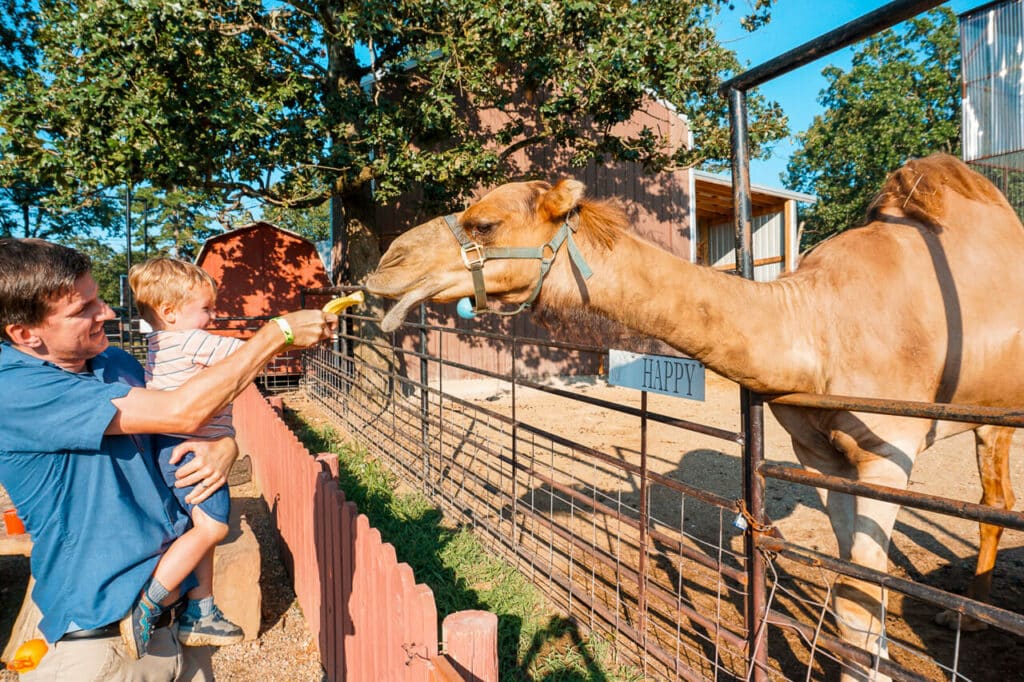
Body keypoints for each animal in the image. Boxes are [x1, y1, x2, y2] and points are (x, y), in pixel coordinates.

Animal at [368, 151, 1024, 675]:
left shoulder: (887, 453)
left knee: (993, 498)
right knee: (995, 499)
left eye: (485, 222)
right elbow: (853, 597)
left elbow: (861, 597)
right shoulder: (821, 455)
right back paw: (965, 619)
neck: (817, 322)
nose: (386, 263)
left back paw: (969, 618)